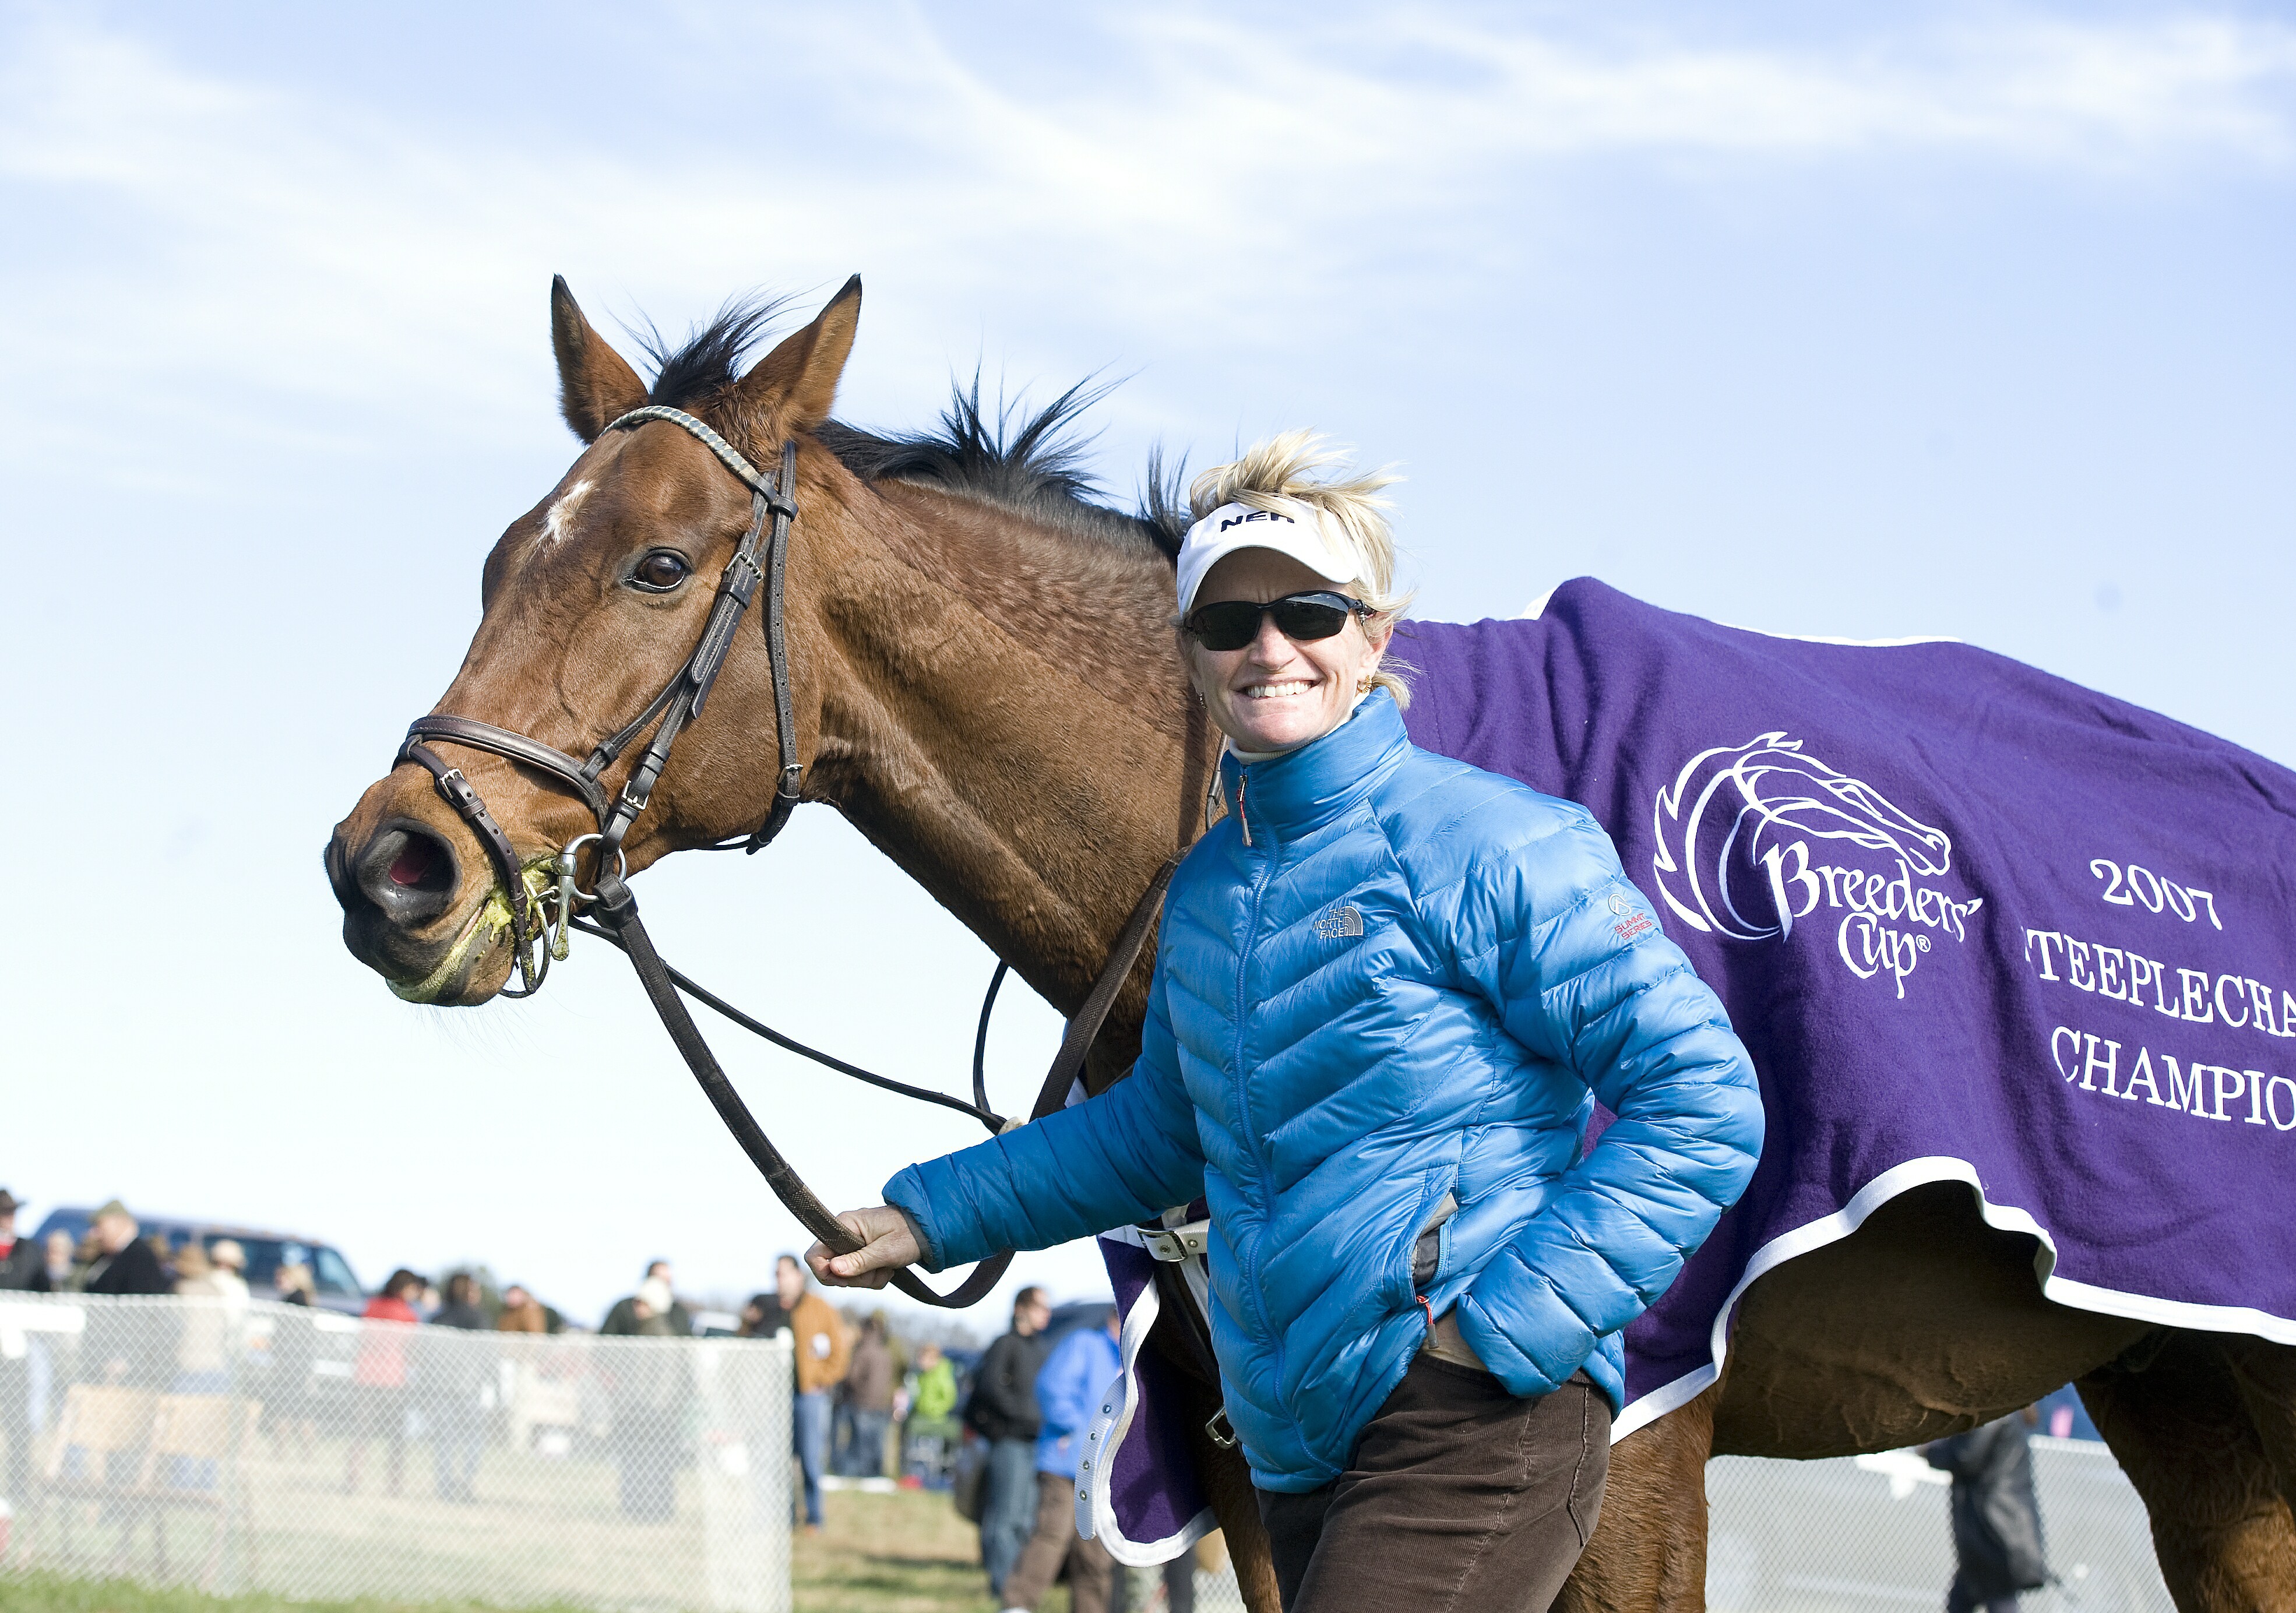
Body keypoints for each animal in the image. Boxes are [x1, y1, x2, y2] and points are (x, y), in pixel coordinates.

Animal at [328, 281, 2296, 1613]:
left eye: (659, 565)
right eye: (501, 558)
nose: (390, 863)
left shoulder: (1634, 1458)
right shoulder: (1263, 1462)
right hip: (2192, 1399)